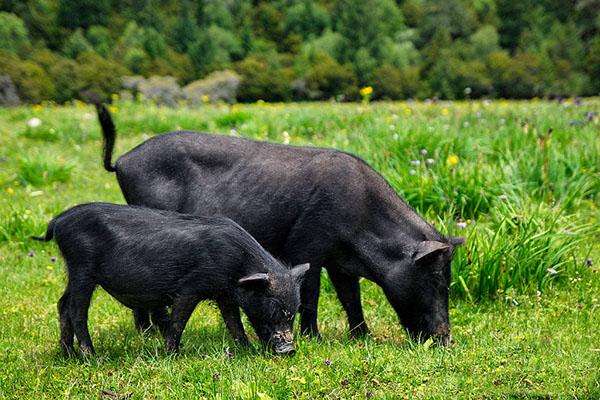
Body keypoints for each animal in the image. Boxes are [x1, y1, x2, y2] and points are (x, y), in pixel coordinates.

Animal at [97, 104, 464, 346]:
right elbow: (312, 293)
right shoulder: (307, 245)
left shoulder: (340, 262)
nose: (446, 339)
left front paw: (363, 337)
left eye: (446, 279)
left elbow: (350, 296)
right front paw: (314, 338)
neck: (361, 221)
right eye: (435, 279)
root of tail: (122, 161)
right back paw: (148, 334)